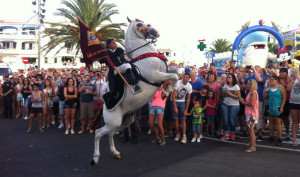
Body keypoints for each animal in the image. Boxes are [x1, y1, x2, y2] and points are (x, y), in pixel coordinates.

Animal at [89, 18, 178, 166]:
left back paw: (115, 152)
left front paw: (166, 91)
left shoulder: (164, 71)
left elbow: (177, 72)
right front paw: (167, 91)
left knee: (110, 134)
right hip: (113, 122)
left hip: (125, 121)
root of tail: (104, 106)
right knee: (98, 133)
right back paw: (94, 158)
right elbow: (175, 76)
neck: (144, 55)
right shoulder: (155, 75)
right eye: (139, 24)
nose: (156, 32)